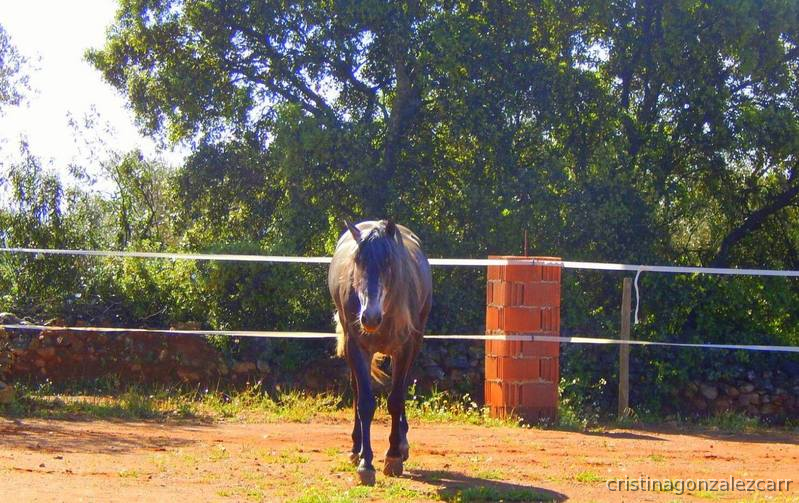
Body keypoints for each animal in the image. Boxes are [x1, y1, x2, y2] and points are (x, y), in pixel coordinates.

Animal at [328, 219, 433, 486]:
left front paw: (394, 455)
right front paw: (366, 463)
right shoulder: (357, 347)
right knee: (357, 393)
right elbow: (365, 402)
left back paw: (402, 445)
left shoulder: (405, 348)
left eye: (388, 262)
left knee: (401, 388)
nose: (370, 317)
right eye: (358, 261)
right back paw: (356, 448)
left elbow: (396, 400)